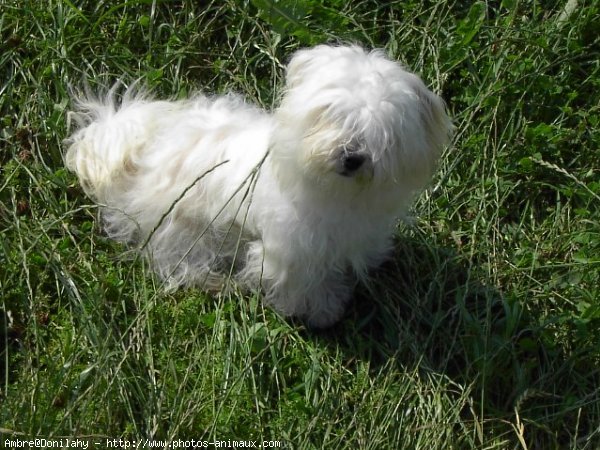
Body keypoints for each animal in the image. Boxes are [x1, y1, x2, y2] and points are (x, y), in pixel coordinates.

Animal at [64, 44, 450, 326]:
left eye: (383, 132)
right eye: (330, 114)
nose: (352, 156)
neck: (336, 194)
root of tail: (138, 150)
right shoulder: (292, 251)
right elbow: (301, 284)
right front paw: (321, 311)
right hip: (182, 227)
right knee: (176, 262)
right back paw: (216, 283)